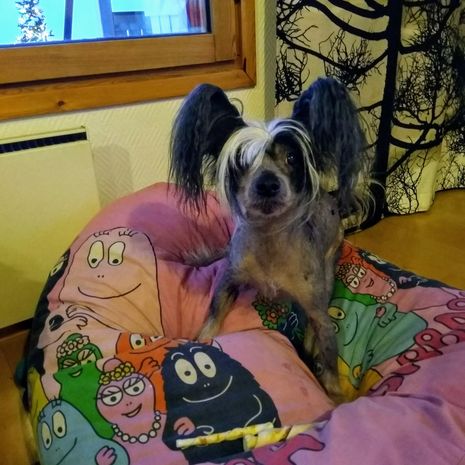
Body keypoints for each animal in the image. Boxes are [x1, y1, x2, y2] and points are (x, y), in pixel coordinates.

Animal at [169, 78, 372, 401]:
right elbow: (212, 318)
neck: (269, 239)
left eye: (291, 157)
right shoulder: (228, 280)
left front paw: (335, 398)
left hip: (328, 270)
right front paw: (200, 341)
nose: (267, 183)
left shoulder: (320, 314)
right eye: (241, 161)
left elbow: (329, 362)